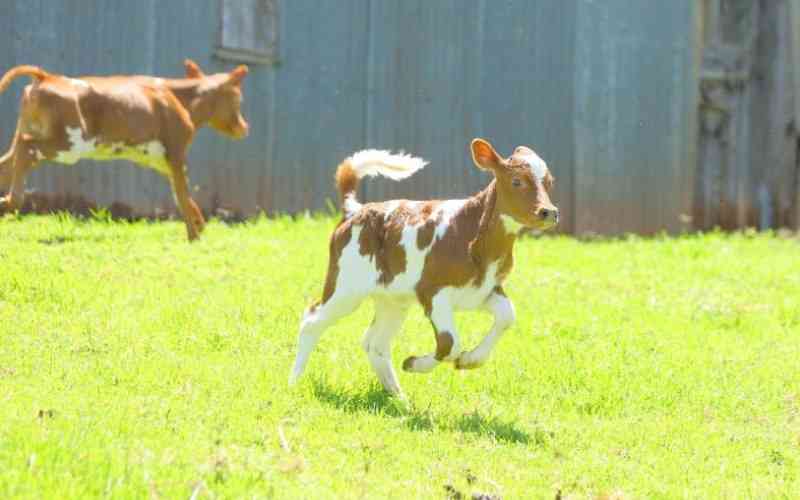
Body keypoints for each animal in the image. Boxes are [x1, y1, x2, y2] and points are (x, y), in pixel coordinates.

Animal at [0, 60, 249, 240]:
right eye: (239, 99)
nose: (245, 127)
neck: (178, 96)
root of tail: (47, 77)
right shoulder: (177, 153)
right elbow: (182, 195)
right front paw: (194, 237)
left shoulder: (162, 161)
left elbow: (186, 198)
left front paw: (199, 225)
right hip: (70, 144)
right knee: (27, 147)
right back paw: (11, 201)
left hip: (34, 133)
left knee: (9, 160)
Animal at [289, 138, 559, 396]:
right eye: (516, 181)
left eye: (549, 182)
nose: (549, 212)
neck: (473, 233)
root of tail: (355, 210)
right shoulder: (431, 290)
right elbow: (449, 343)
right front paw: (413, 363)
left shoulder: (485, 289)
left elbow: (507, 316)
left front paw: (470, 360)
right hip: (345, 287)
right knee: (312, 320)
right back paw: (294, 382)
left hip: (392, 299)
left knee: (375, 343)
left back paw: (399, 399)